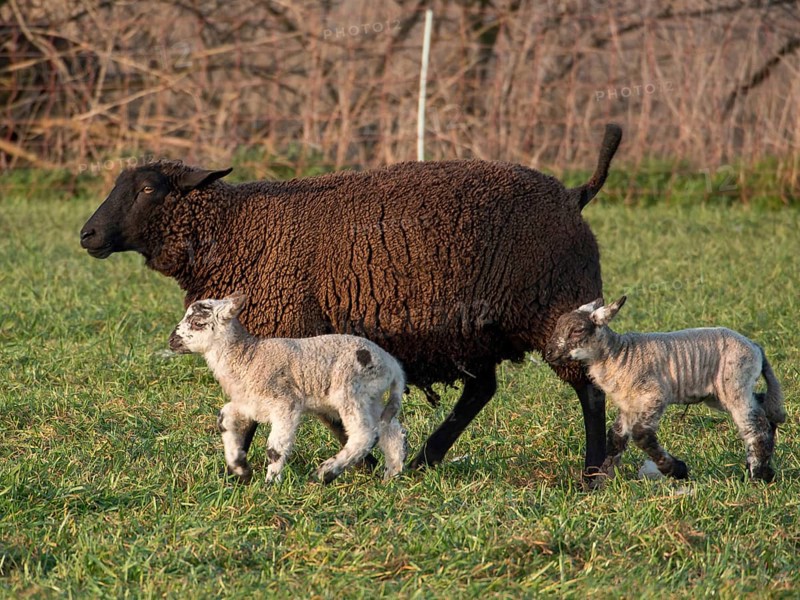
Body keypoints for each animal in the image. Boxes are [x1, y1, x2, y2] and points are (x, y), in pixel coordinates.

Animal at [168, 293, 408, 483]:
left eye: (198, 323)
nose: (171, 341)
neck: (248, 357)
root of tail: (393, 365)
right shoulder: (249, 403)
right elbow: (224, 417)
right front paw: (240, 469)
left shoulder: (285, 402)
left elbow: (275, 447)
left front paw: (271, 484)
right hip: (372, 395)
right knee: (391, 431)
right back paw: (392, 476)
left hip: (351, 389)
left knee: (364, 434)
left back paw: (324, 474)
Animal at [544, 296, 786, 482]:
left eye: (577, 330)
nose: (548, 353)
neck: (619, 355)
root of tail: (756, 347)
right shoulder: (629, 405)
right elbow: (615, 438)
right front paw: (601, 480)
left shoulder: (655, 396)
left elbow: (642, 435)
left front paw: (677, 470)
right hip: (721, 394)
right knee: (762, 407)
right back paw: (766, 466)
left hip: (735, 384)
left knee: (754, 426)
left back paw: (757, 475)